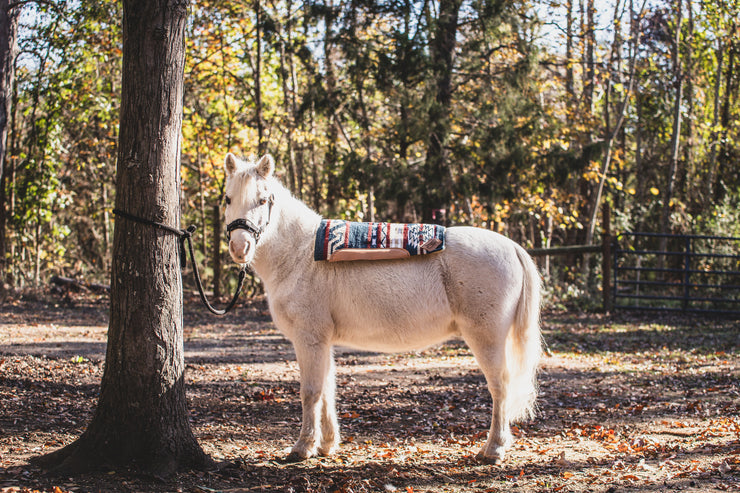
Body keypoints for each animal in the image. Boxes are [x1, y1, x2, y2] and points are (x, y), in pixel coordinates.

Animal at [223, 152, 540, 464]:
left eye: (262, 199)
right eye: (227, 198)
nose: (240, 248)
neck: (300, 254)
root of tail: (512, 247)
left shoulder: (308, 339)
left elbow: (311, 392)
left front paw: (302, 447)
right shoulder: (322, 342)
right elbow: (327, 390)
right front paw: (327, 445)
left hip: (486, 337)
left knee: (500, 386)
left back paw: (494, 448)